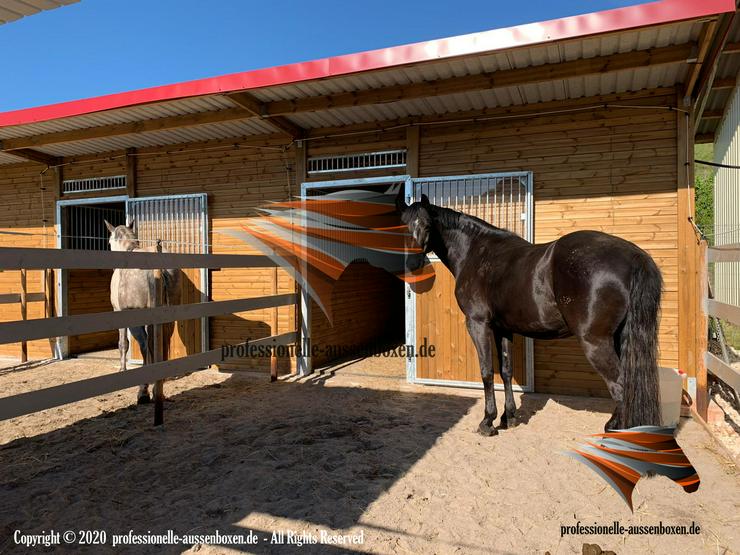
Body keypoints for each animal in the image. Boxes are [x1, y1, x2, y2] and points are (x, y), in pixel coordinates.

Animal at [104, 218, 181, 404]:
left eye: (109, 242)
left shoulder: (120, 313)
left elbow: (124, 344)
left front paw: (123, 369)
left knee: (146, 345)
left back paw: (144, 391)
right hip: (169, 319)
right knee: (162, 342)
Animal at [398, 193, 664, 436]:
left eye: (427, 225)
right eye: (401, 227)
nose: (411, 265)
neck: (476, 252)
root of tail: (633, 256)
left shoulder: (478, 324)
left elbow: (486, 372)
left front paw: (488, 422)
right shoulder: (503, 328)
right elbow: (506, 370)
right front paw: (509, 417)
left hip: (595, 341)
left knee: (620, 387)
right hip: (618, 337)